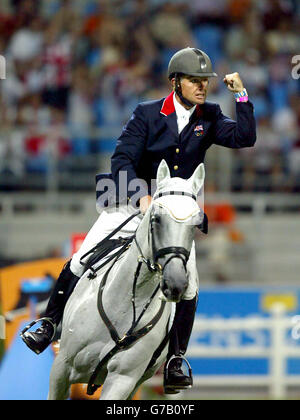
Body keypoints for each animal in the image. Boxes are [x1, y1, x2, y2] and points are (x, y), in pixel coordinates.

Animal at [48, 161, 205, 400]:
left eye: (195, 225)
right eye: (156, 219)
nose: (175, 283)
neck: (126, 301)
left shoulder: (122, 380)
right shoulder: (62, 368)